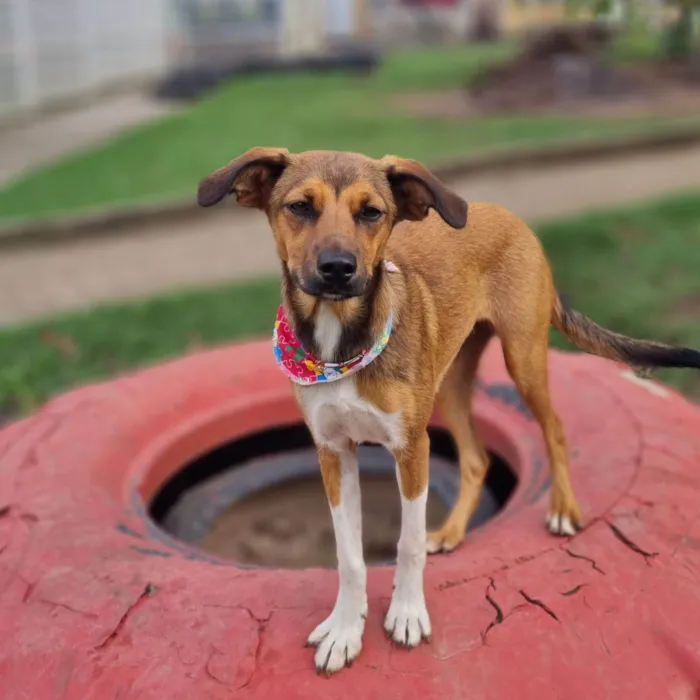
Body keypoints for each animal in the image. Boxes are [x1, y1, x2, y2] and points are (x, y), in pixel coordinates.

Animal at [197, 146, 700, 672]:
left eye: (371, 212)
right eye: (299, 207)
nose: (338, 267)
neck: (340, 346)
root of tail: (501, 212)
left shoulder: (410, 449)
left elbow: (408, 542)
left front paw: (406, 613)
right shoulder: (334, 452)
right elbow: (349, 555)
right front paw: (345, 629)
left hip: (523, 357)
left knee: (555, 428)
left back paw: (563, 508)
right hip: (449, 387)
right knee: (476, 458)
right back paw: (456, 530)